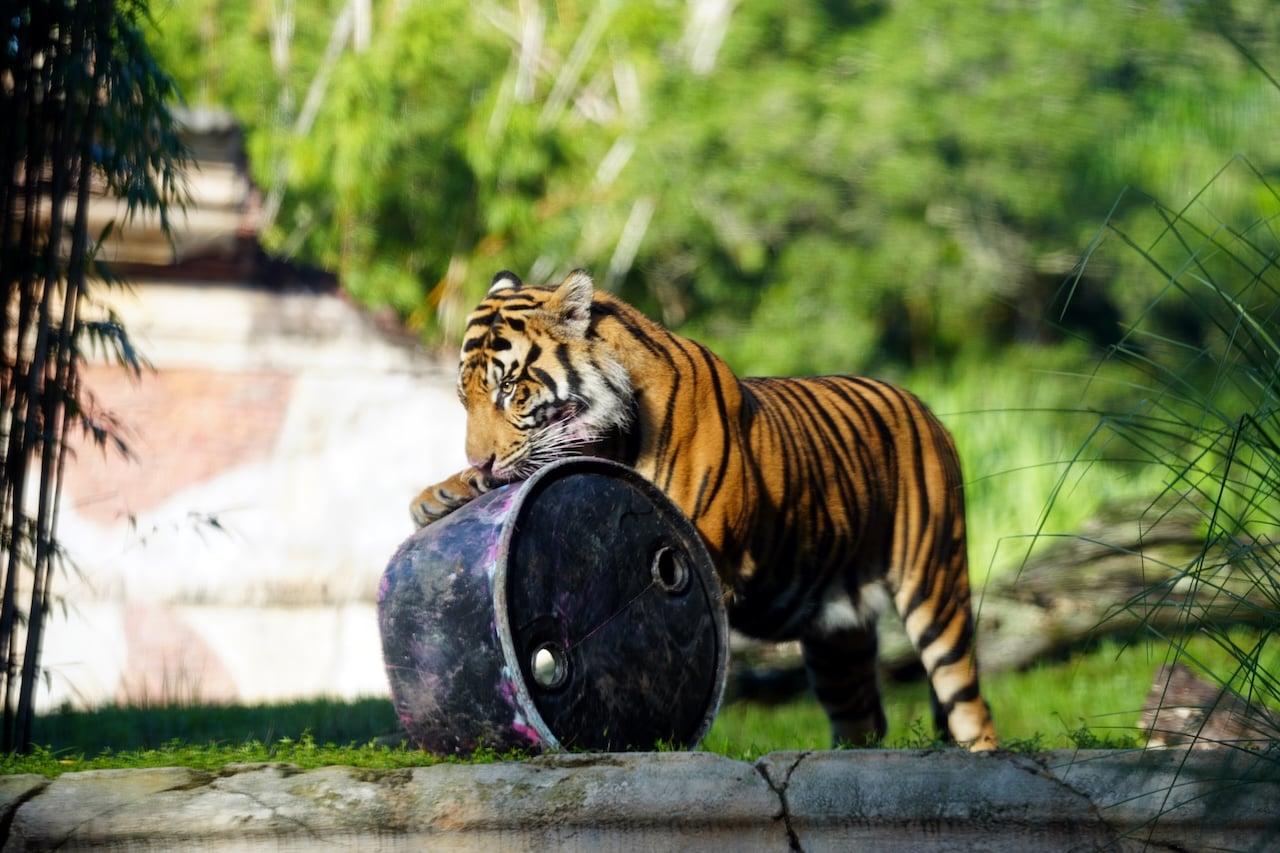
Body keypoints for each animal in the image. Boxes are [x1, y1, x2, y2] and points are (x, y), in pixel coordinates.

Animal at [411, 269, 998, 751]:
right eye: (465, 398)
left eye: (510, 389)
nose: (481, 460)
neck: (613, 436)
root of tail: (927, 409)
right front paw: (440, 494)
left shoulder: (704, 554)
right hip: (838, 638)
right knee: (864, 721)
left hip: (935, 586)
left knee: (969, 705)